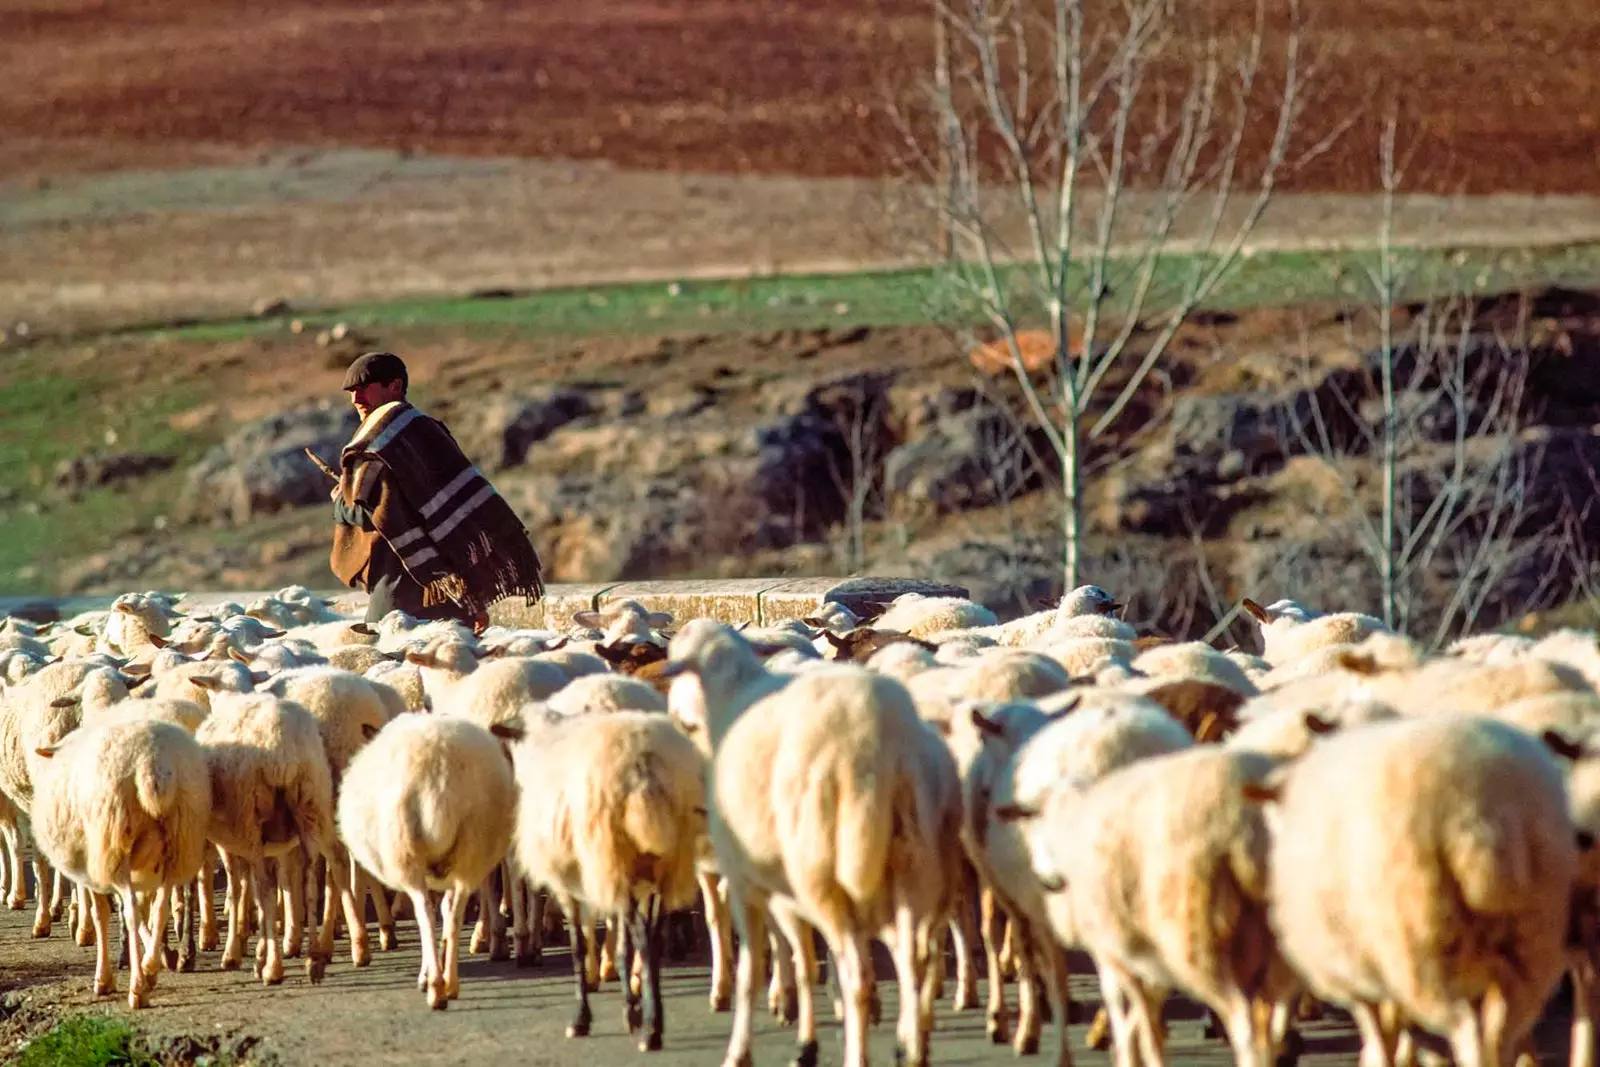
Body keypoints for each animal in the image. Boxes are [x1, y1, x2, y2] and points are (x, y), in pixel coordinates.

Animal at [29, 716, 209, 1011]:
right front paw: (158, 961)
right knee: (160, 906)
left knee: (131, 911)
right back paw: (149, 966)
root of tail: (152, 763)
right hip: (180, 838)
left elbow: (101, 914)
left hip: (114, 837)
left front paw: (104, 980)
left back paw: (137, 989)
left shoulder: (91, 865)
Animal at [339, 716, 518, 1011]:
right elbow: (446, 910)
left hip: (407, 853)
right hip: (472, 847)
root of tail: (440, 782)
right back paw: (451, 984)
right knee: (454, 914)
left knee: (425, 913)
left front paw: (428, 975)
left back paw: (434, 987)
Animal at [505, 703, 707, 1049]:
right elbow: (621, 946)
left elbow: (579, 947)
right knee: (654, 938)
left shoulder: (568, 880)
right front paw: (630, 1008)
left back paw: (651, 1032)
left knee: (643, 937)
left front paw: (581, 1018)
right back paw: (653, 1020)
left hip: (617, 859)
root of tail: (643, 762)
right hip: (663, 865)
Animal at [662, 627, 960, 1067]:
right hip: (914, 870)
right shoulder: (781, 886)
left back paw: (858, 1049)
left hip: (822, 869)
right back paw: (911, 1045)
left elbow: (759, 968)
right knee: (914, 959)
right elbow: (802, 958)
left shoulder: (746, 878)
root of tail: (883, 739)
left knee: (858, 972)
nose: (676, 717)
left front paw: (747, 1047)